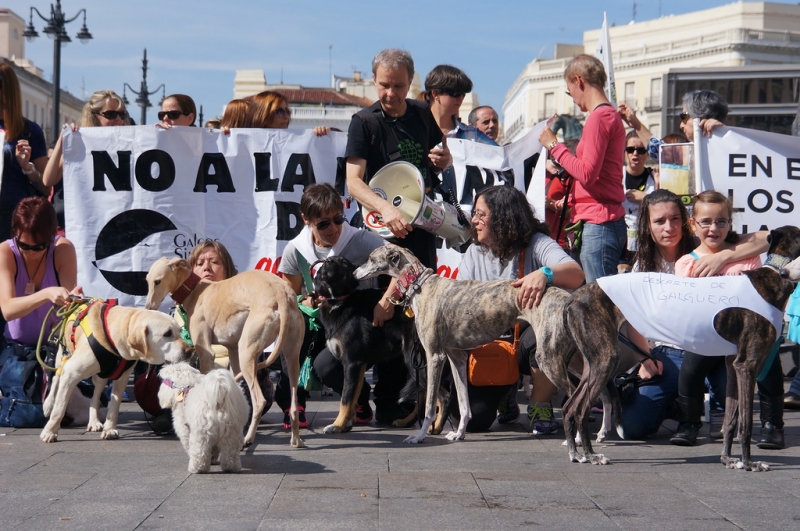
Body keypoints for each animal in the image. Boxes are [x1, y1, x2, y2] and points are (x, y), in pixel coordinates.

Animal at [40, 300, 191, 444]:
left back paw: (94, 422)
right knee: (56, 379)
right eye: (167, 333)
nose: (190, 350)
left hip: (102, 375)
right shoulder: (71, 372)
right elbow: (59, 408)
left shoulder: (122, 377)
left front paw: (109, 429)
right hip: (63, 356)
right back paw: (48, 404)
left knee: (95, 396)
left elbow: (114, 406)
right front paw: (50, 432)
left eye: (179, 331)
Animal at [144, 258, 306, 448]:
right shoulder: (233, 350)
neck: (196, 290)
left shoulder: (205, 353)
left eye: (158, 281)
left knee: (260, 401)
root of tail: (282, 294)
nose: (148, 307)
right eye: (147, 281)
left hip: (247, 353)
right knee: (293, 404)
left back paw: (248, 439)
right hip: (291, 357)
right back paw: (296, 440)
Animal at [312, 256, 416, 434]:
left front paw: (337, 425)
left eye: (343, 262)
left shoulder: (352, 362)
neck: (339, 301)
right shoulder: (358, 365)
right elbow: (353, 397)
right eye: (325, 262)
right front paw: (346, 423)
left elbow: (346, 398)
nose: (329, 261)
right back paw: (407, 422)